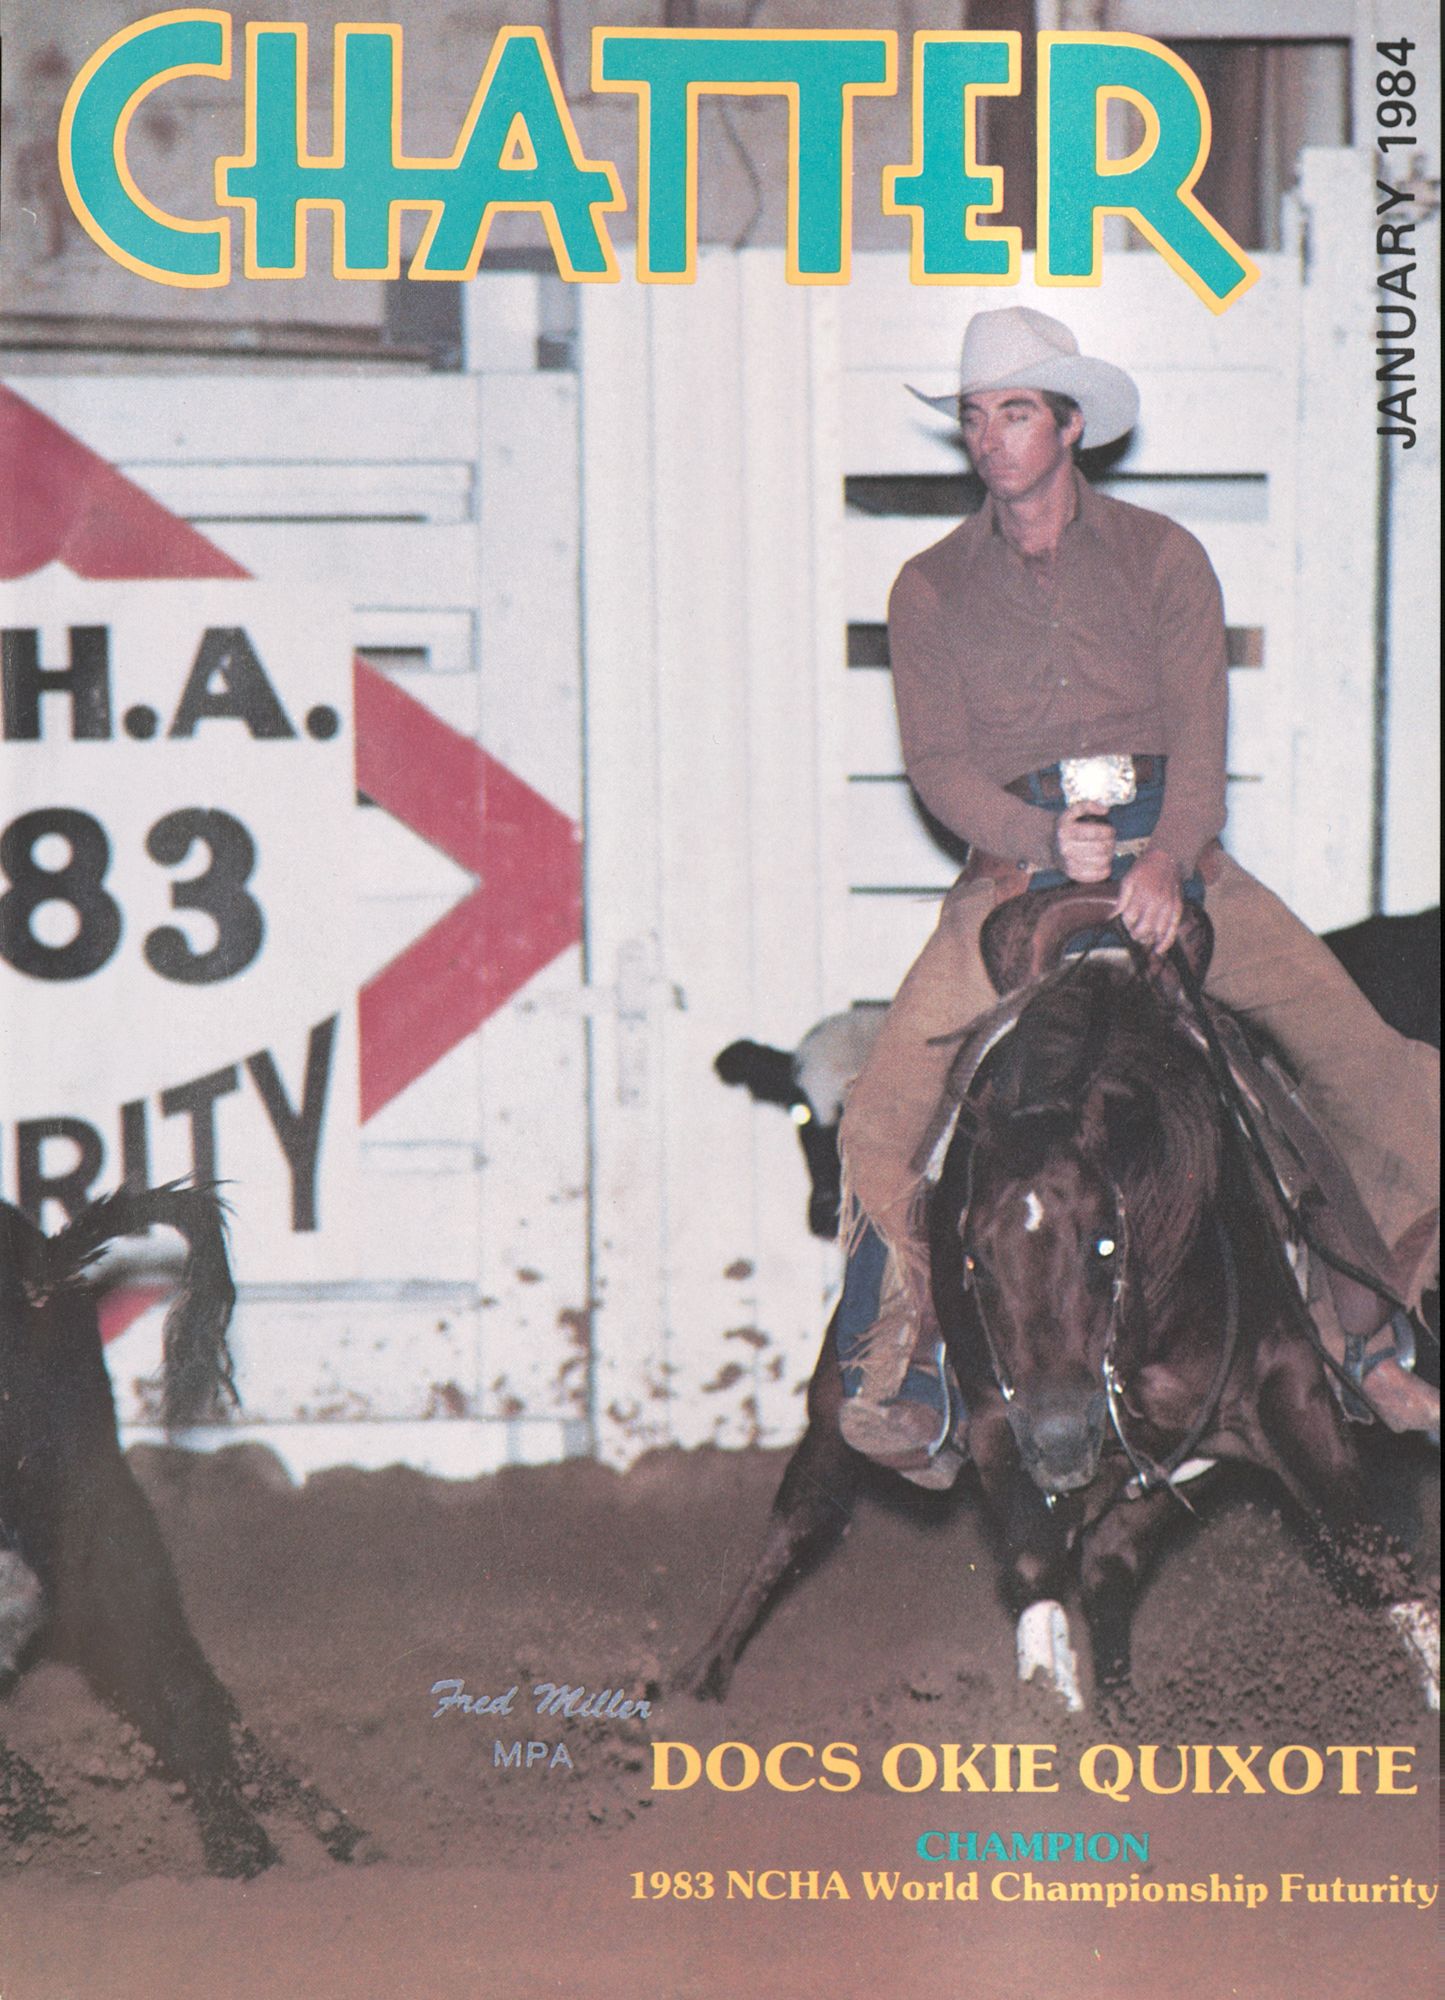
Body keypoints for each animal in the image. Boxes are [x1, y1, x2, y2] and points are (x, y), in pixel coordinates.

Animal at [679, 890, 1437, 1713]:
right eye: (972, 1260)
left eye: (1105, 1244)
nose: (1060, 1434)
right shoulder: (997, 1419)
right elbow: (1035, 1569)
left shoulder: (1284, 1386)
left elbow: (1380, 1557)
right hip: (838, 1409)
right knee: (803, 1514)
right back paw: (702, 1671)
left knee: (1109, 1566)